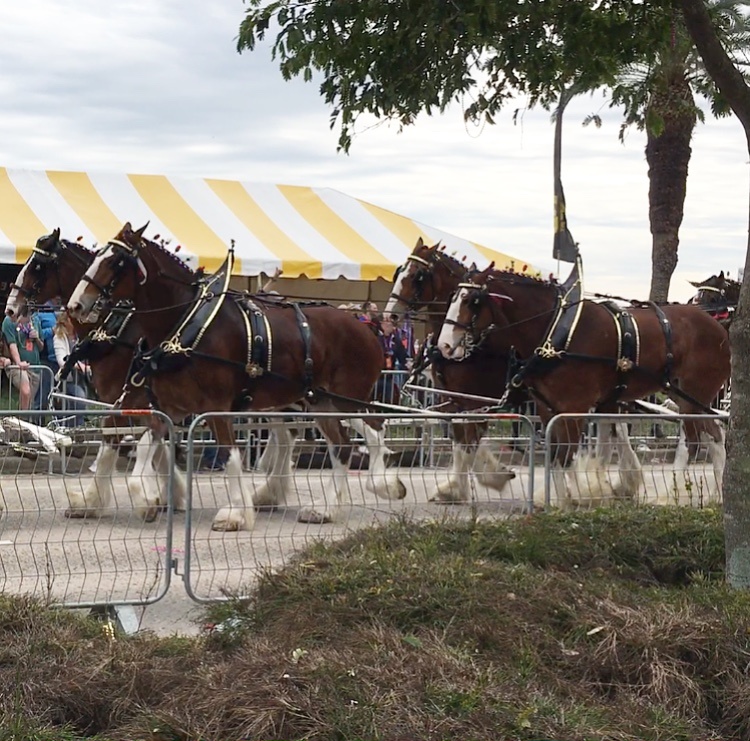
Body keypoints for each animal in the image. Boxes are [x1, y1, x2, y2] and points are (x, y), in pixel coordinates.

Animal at [5, 228, 187, 516]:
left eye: (38, 266)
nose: (10, 308)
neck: (113, 330)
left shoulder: (131, 397)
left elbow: (126, 438)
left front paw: (98, 500)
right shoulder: (129, 399)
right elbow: (154, 442)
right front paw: (171, 495)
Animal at [67, 223, 408, 528]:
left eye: (115, 261)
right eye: (96, 257)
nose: (75, 305)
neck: (185, 324)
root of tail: (366, 328)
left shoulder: (215, 406)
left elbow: (229, 453)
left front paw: (235, 514)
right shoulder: (165, 404)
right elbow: (141, 443)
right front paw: (143, 499)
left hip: (348, 399)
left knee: (373, 430)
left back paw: (381, 484)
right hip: (319, 402)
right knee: (340, 446)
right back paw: (324, 509)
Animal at [438, 262, 732, 502]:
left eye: (472, 300)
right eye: (452, 297)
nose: (444, 345)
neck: (557, 330)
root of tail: (717, 328)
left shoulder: (573, 407)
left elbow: (566, 457)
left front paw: (578, 499)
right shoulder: (547, 408)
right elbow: (555, 457)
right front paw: (562, 502)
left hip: (696, 395)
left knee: (703, 440)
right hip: (685, 396)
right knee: (710, 436)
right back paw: (713, 493)